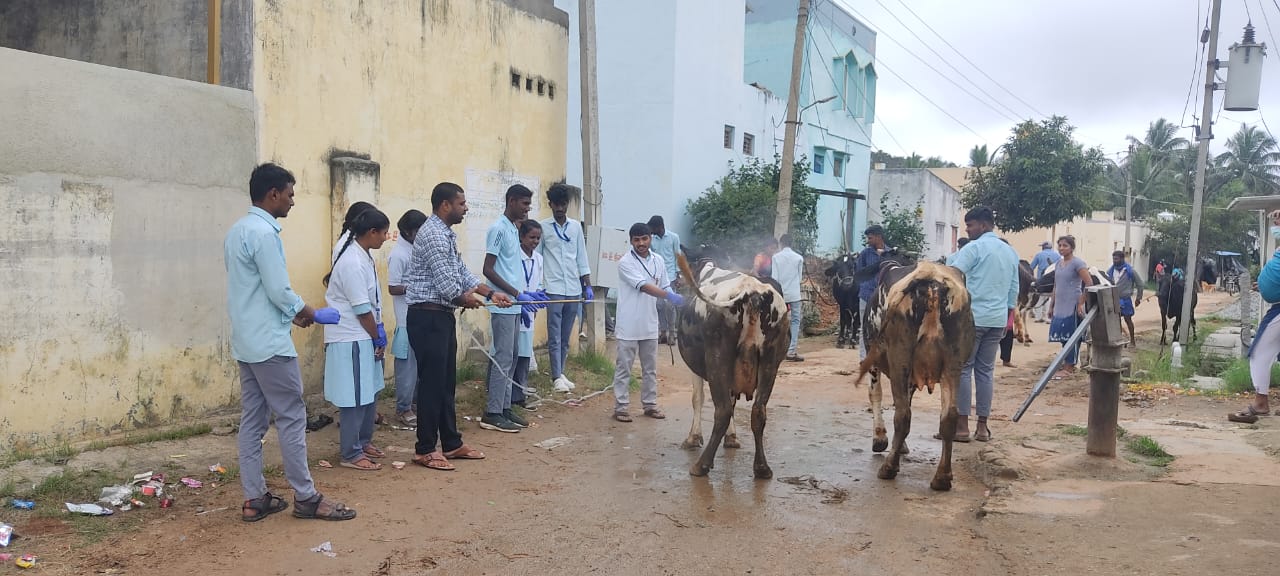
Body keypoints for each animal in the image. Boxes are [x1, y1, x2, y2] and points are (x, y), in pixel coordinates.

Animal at [676, 253, 790, 479]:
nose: (675, 281)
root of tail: (752, 293)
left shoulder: (696, 368)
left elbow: (697, 398)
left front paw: (693, 438)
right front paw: (732, 437)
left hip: (716, 358)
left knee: (722, 410)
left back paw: (701, 466)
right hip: (771, 362)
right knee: (758, 411)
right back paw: (762, 468)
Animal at [854, 251, 975, 491]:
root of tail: (931, 277)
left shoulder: (874, 359)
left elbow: (876, 395)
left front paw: (880, 440)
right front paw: (899, 445)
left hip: (899, 357)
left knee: (903, 415)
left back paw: (889, 468)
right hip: (953, 364)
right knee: (948, 416)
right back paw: (942, 477)